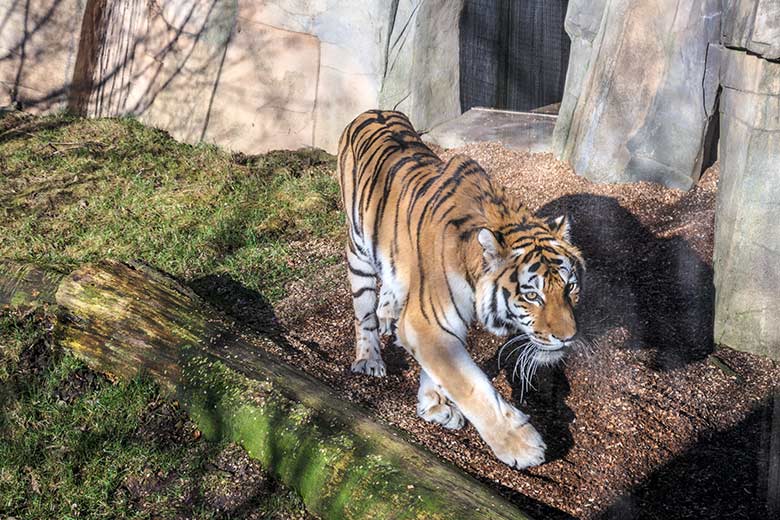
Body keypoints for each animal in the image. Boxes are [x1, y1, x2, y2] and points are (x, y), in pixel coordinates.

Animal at [336, 108, 584, 468]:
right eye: (531, 295)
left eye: (570, 288)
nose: (568, 338)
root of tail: (371, 110)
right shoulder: (427, 323)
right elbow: (470, 386)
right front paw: (521, 446)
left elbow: (439, 371)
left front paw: (433, 405)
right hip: (358, 252)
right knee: (363, 313)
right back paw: (369, 359)